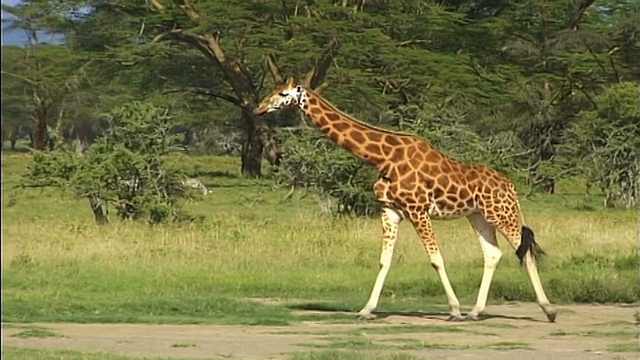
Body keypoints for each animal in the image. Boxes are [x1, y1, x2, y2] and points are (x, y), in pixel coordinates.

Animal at [254, 77, 556, 322]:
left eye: (282, 94)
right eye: (272, 91)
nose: (258, 109)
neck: (383, 157)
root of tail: (510, 186)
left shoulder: (417, 209)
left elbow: (436, 258)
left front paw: (454, 310)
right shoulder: (390, 210)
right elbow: (384, 260)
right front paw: (366, 310)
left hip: (502, 214)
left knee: (525, 251)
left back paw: (549, 311)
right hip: (478, 216)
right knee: (493, 253)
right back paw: (476, 312)